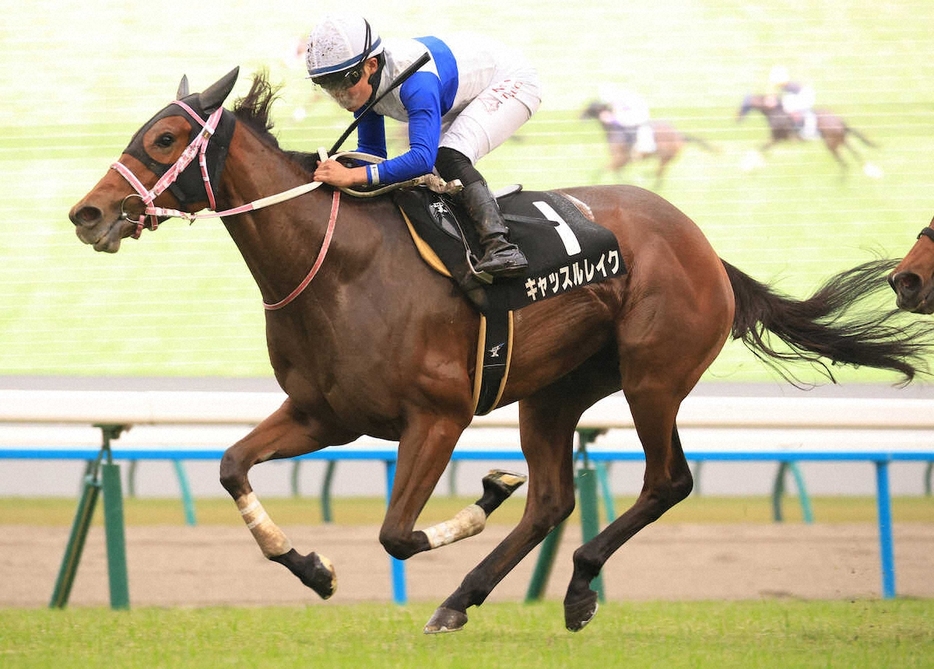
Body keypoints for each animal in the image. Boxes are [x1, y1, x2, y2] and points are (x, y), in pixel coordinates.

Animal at [576, 100, 716, 188]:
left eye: (593, 107)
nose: (581, 116)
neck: (615, 129)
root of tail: (680, 135)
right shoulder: (622, 160)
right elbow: (613, 172)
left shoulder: (620, 158)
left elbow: (603, 170)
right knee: (659, 175)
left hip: (665, 157)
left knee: (658, 175)